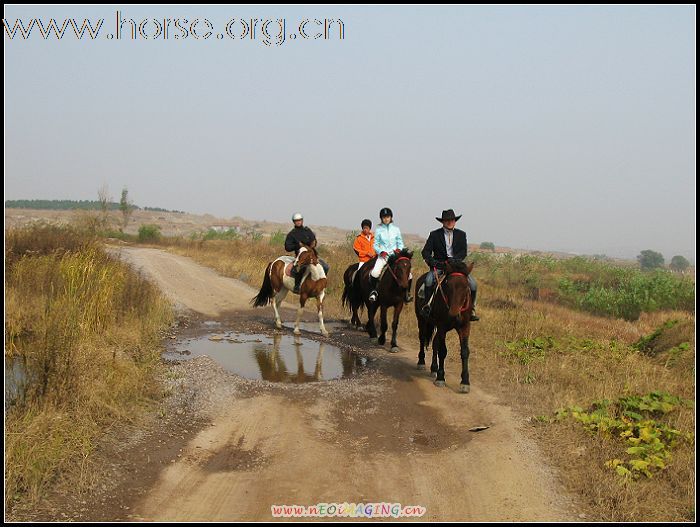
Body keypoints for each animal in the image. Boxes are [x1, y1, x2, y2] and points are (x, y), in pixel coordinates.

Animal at [412, 260, 474, 392]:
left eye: (466, 287)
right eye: (448, 286)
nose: (454, 314)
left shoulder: (465, 326)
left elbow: (465, 352)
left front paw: (465, 382)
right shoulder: (442, 326)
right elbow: (442, 351)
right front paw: (441, 378)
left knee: (435, 342)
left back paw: (434, 368)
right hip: (422, 319)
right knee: (422, 338)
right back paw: (421, 362)